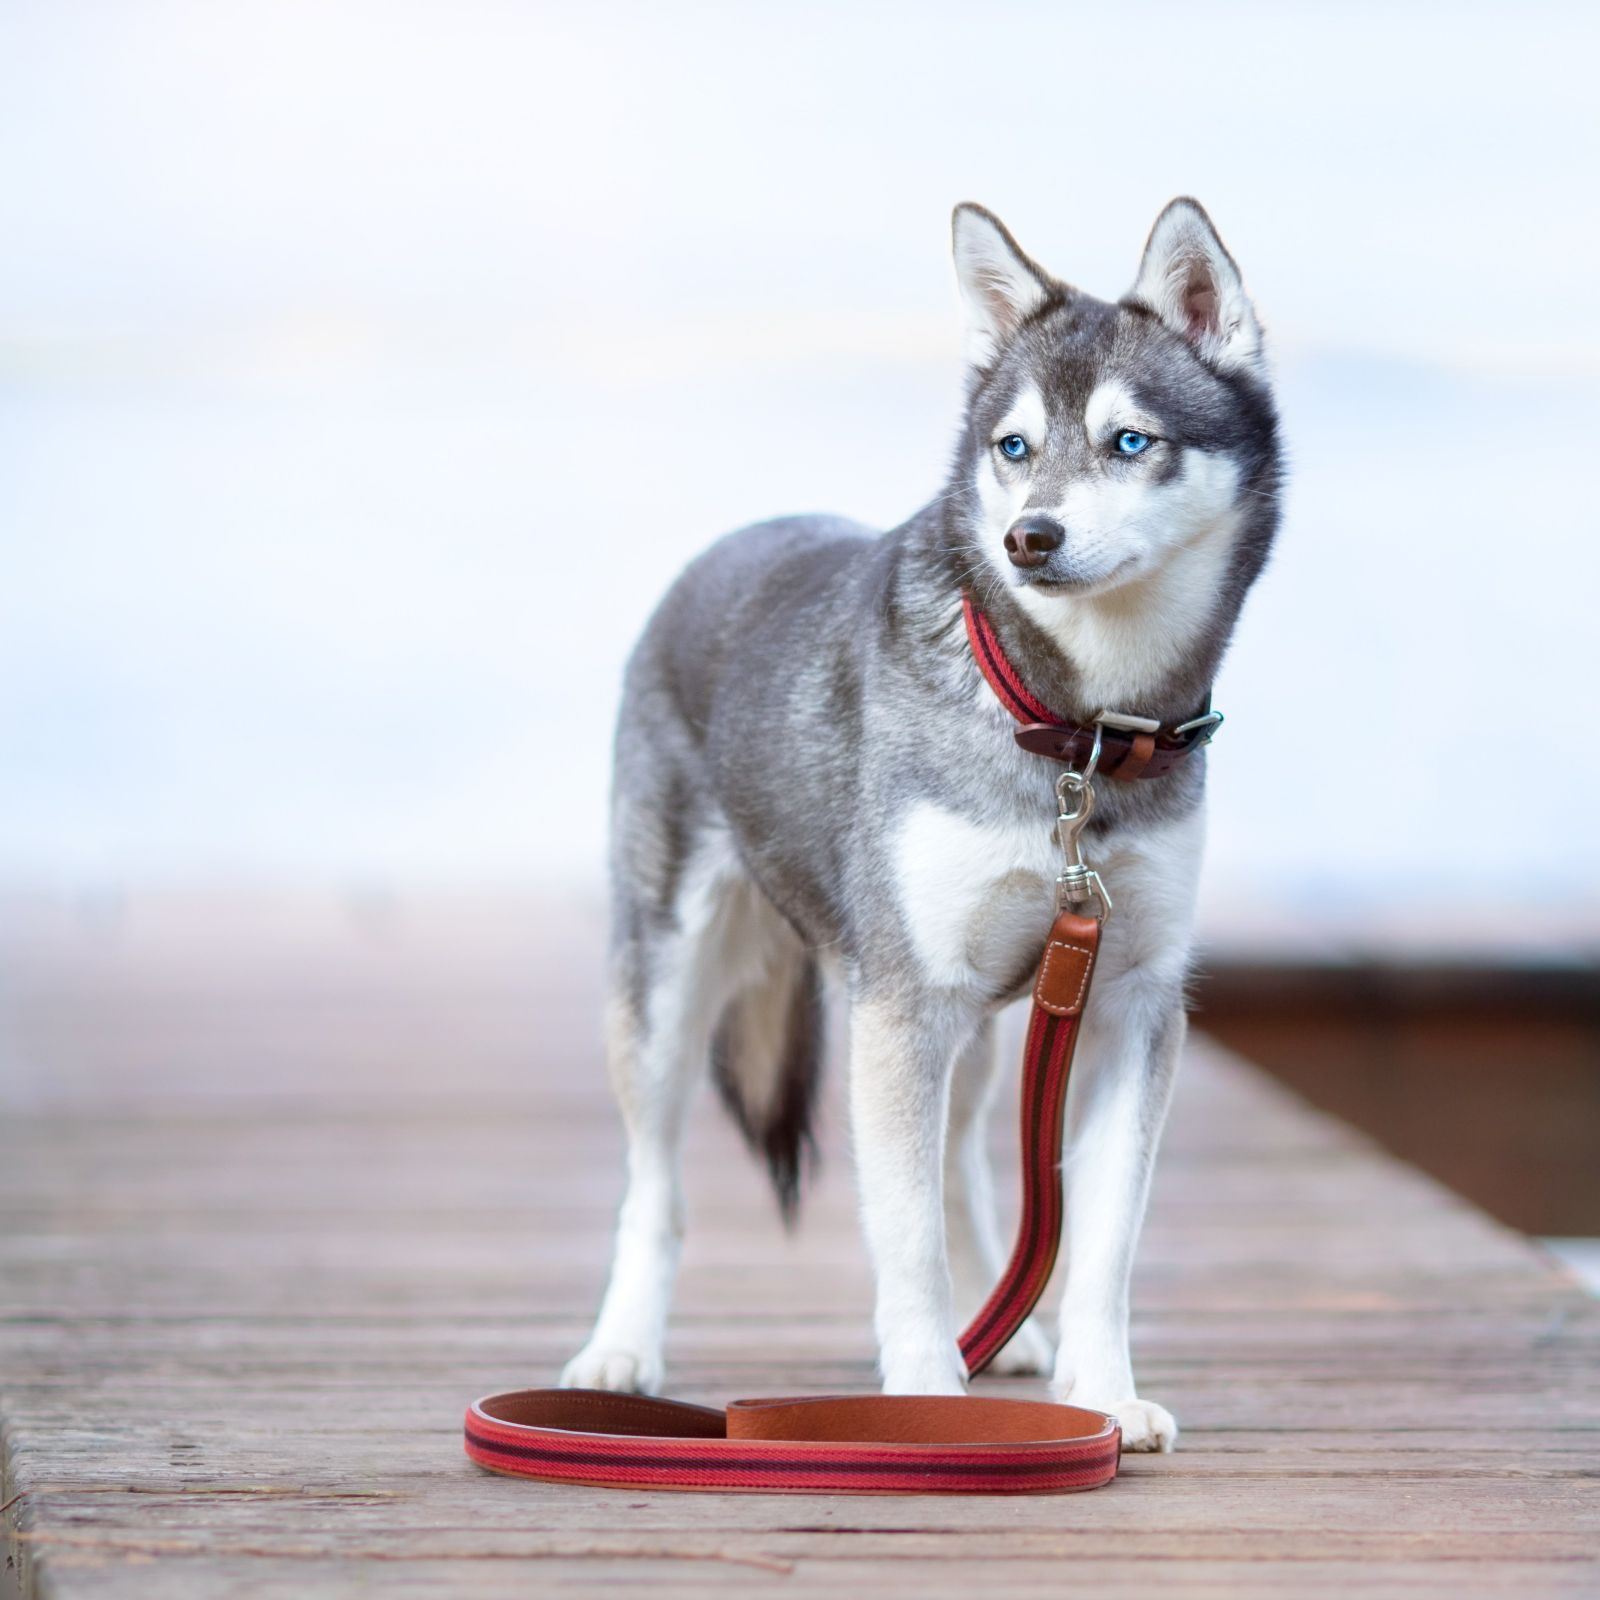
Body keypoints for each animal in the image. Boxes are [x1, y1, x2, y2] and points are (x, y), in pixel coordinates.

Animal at [556, 196, 1280, 1452]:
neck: (1074, 732)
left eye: (1129, 442)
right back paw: (621, 1348)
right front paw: (923, 1402)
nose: (1029, 537)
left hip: (981, 1025)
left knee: (964, 1168)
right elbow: (904, 1251)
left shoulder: (1130, 1002)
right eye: (1014, 449)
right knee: (656, 1187)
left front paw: (1101, 1392)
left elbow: (1098, 1242)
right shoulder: (902, 1004)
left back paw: (1010, 1330)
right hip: (667, 987)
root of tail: (725, 546)